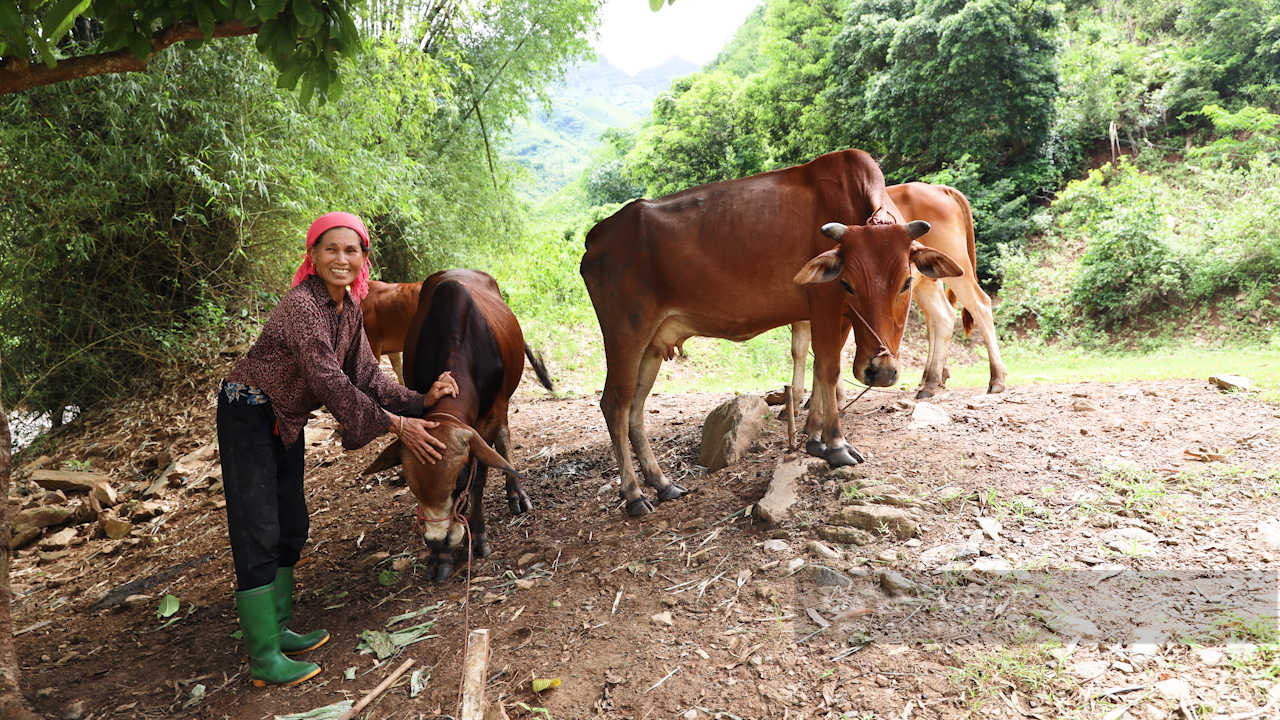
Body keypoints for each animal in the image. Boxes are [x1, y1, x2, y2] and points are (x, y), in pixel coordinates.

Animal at [366, 269, 555, 576]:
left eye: (459, 481)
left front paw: (478, 538)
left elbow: (479, 480)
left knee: (504, 439)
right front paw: (439, 558)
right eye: (414, 488)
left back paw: (516, 494)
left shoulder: (488, 419)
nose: (436, 540)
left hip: (504, 403)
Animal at [581, 147, 962, 515]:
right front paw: (836, 444)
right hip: (625, 336)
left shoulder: (836, 317)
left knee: (635, 409)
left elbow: (821, 370)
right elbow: (828, 369)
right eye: (848, 285)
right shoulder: (824, 304)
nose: (879, 371)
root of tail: (597, 237)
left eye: (906, 282)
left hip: (651, 345)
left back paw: (662, 483)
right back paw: (633, 494)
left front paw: (814, 438)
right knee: (615, 405)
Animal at [788, 181, 1008, 420]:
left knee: (979, 305)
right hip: (926, 281)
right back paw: (930, 380)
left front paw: (834, 400)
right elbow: (800, 349)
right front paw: (799, 400)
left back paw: (996, 378)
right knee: (942, 317)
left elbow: (834, 349)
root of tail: (939, 188)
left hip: (958, 266)